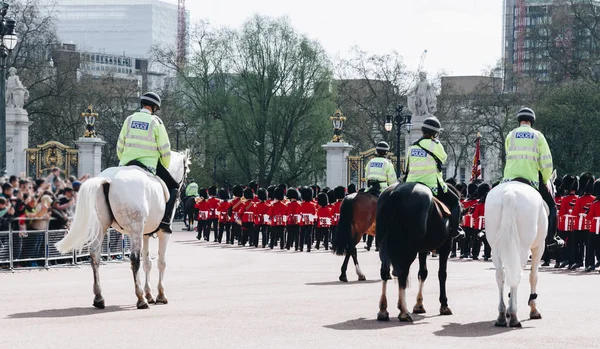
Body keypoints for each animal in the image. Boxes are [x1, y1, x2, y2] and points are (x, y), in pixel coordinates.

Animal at [56, 151, 189, 308]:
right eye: (186, 170)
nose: (183, 192)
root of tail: (108, 180)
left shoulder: (145, 234)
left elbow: (147, 263)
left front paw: (150, 294)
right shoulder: (162, 233)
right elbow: (160, 262)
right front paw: (160, 295)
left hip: (102, 227)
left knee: (95, 256)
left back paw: (99, 297)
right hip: (134, 229)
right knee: (134, 259)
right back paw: (140, 299)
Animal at [378, 182, 452, 320]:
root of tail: (396, 193)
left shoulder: (423, 250)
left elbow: (423, 273)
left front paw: (419, 305)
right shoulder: (446, 247)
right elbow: (442, 274)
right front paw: (444, 305)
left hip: (384, 246)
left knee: (385, 271)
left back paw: (383, 310)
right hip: (409, 250)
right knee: (402, 273)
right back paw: (403, 312)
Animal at [486, 171, 556, 326]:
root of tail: (509, 194)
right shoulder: (539, 247)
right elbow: (533, 276)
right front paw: (533, 308)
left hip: (495, 248)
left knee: (500, 275)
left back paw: (502, 314)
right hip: (524, 249)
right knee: (517, 275)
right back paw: (513, 315)